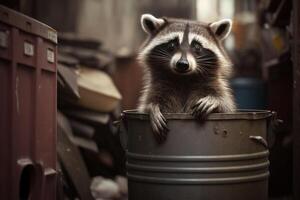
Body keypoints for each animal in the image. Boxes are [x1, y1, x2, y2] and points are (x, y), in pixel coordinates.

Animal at [137, 13, 237, 141]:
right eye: (172, 44)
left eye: (197, 47)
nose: (182, 64)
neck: (184, 79)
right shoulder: (158, 86)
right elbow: (147, 104)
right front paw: (152, 108)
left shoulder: (213, 85)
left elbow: (226, 106)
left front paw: (215, 101)